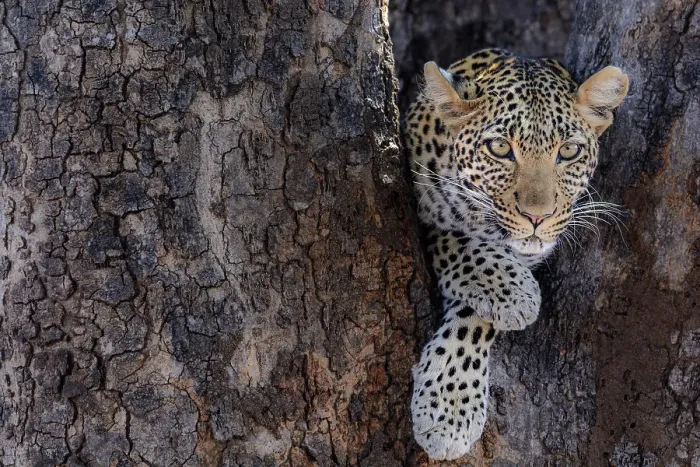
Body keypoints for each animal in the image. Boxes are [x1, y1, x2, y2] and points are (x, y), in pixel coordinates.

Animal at [403, 48, 628, 460]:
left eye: (568, 151)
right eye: (500, 149)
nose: (538, 217)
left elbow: (472, 319)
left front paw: (448, 408)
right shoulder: (421, 210)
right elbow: (455, 238)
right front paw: (511, 290)